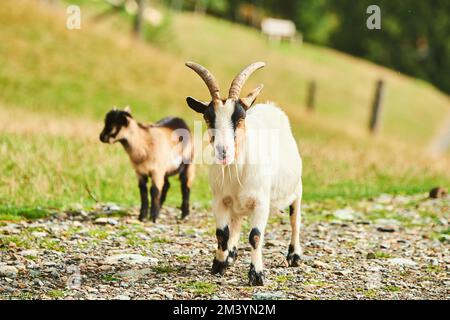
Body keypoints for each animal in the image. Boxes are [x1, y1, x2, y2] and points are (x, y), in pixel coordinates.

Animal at [185, 60, 304, 284]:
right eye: (208, 117)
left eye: (240, 117)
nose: (223, 151)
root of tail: (270, 107)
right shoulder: (220, 200)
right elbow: (221, 233)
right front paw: (219, 264)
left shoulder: (261, 202)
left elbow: (255, 236)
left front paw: (257, 275)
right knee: (236, 222)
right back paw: (231, 254)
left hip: (297, 189)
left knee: (295, 220)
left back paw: (294, 256)